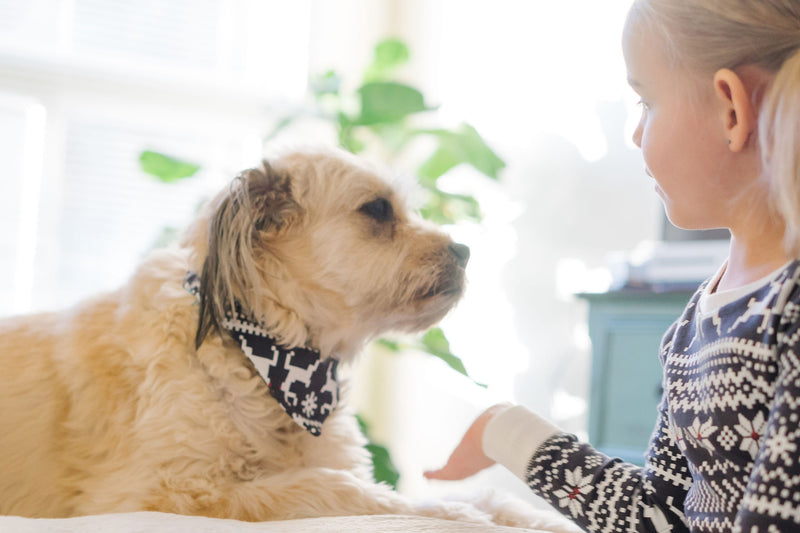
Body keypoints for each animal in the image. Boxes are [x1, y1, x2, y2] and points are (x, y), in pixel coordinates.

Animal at [0, 148, 576, 528]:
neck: (273, 357)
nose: (464, 251)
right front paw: (448, 512)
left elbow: (493, 500)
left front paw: (528, 515)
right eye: (377, 210)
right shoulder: (155, 492)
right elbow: (341, 489)